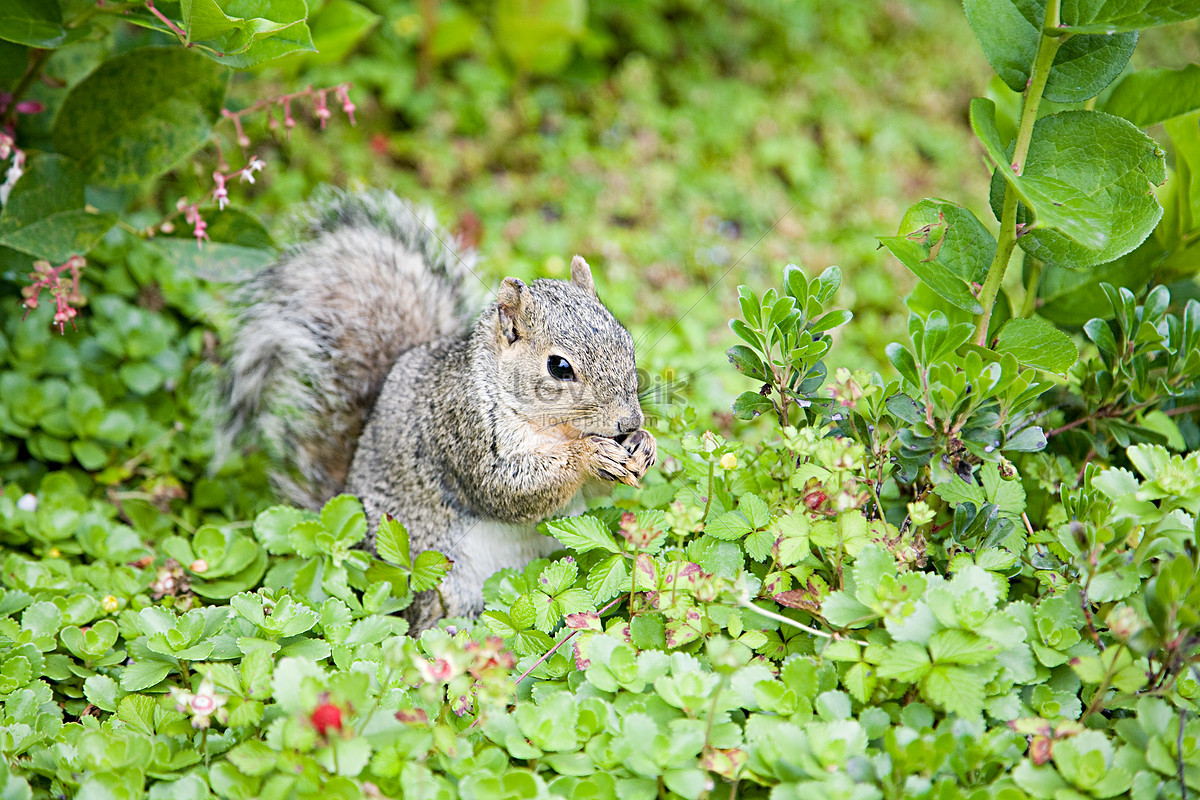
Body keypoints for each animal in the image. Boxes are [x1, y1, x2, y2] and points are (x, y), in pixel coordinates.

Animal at [223, 190, 657, 628]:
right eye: (559, 367)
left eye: (626, 339)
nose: (630, 420)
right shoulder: (463, 428)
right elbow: (510, 489)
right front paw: (588, 454)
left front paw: (644, 444)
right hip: (441, 577)